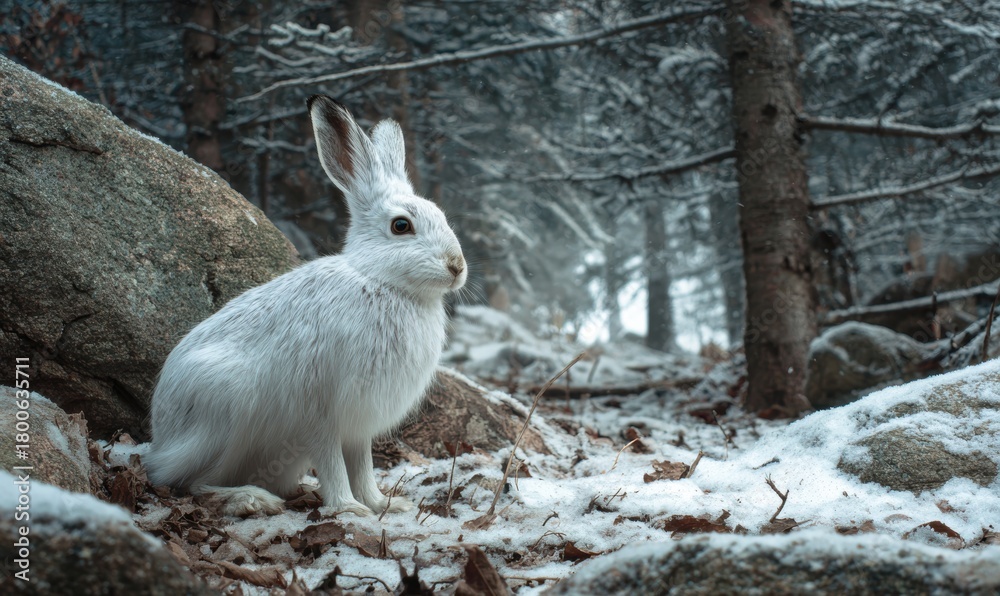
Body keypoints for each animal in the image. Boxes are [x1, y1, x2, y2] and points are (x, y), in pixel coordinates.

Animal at [144, 96, 467, 517]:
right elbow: (332, 463)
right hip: (223, 415)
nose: (457, 267)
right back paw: (251, 499)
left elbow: (362, 464)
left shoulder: (359, 425)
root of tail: (160, 436)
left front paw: (384, 504)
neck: (382, 283)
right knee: (188, 483)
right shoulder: (319, 412)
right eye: (401, 226)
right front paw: (349, 509)